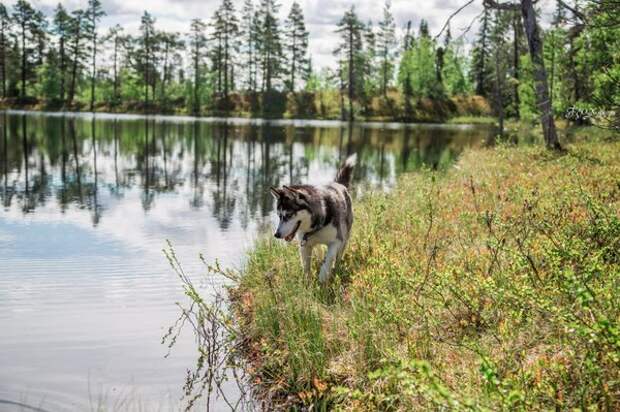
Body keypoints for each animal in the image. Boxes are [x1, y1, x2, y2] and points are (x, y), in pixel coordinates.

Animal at [272, 154, 358, 284]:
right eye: (279, 216)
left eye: (289, 215)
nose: (276, 235)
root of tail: (339, 184)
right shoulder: (305, 245)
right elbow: (306, 267)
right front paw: (307, 283)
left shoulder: (336, 241)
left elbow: (328, 260)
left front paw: (322, 276)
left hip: (345, 238)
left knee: (338, 256)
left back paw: (336, 269)